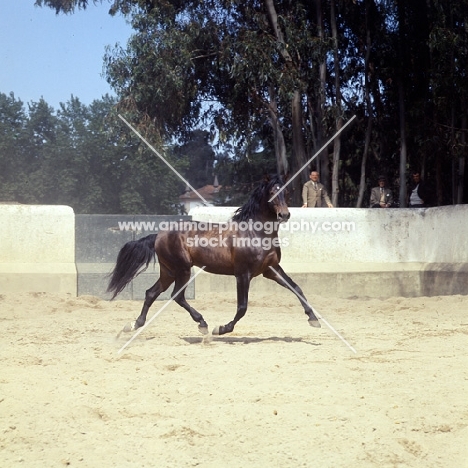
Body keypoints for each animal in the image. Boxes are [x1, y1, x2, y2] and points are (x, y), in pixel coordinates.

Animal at [107, 175, 320, 332]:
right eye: (271, 192)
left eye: (286, 192)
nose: (285, 215)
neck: (255, 233)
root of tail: (159, 235)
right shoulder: (243, 274)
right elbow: (242, 307)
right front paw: (223, 328)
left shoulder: (271, 269)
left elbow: (297, 289)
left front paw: (313, 319)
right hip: (182, 270)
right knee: (177, 296)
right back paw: (202, 324)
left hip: (168, 271)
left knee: (151, 293)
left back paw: (135, 324)